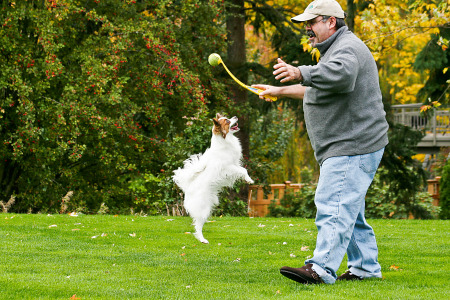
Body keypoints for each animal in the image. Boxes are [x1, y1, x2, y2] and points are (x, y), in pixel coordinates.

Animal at [172, 113, 253, 243]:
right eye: (227, 121)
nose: (235, 116)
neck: (224, 142)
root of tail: (187, 189)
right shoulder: (228, 168)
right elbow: (243, 170)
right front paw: (249, 180)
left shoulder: (234, 164)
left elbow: (243, 169)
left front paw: (247, 178)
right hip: (203, 209)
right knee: (198, 226)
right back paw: (202, 239)